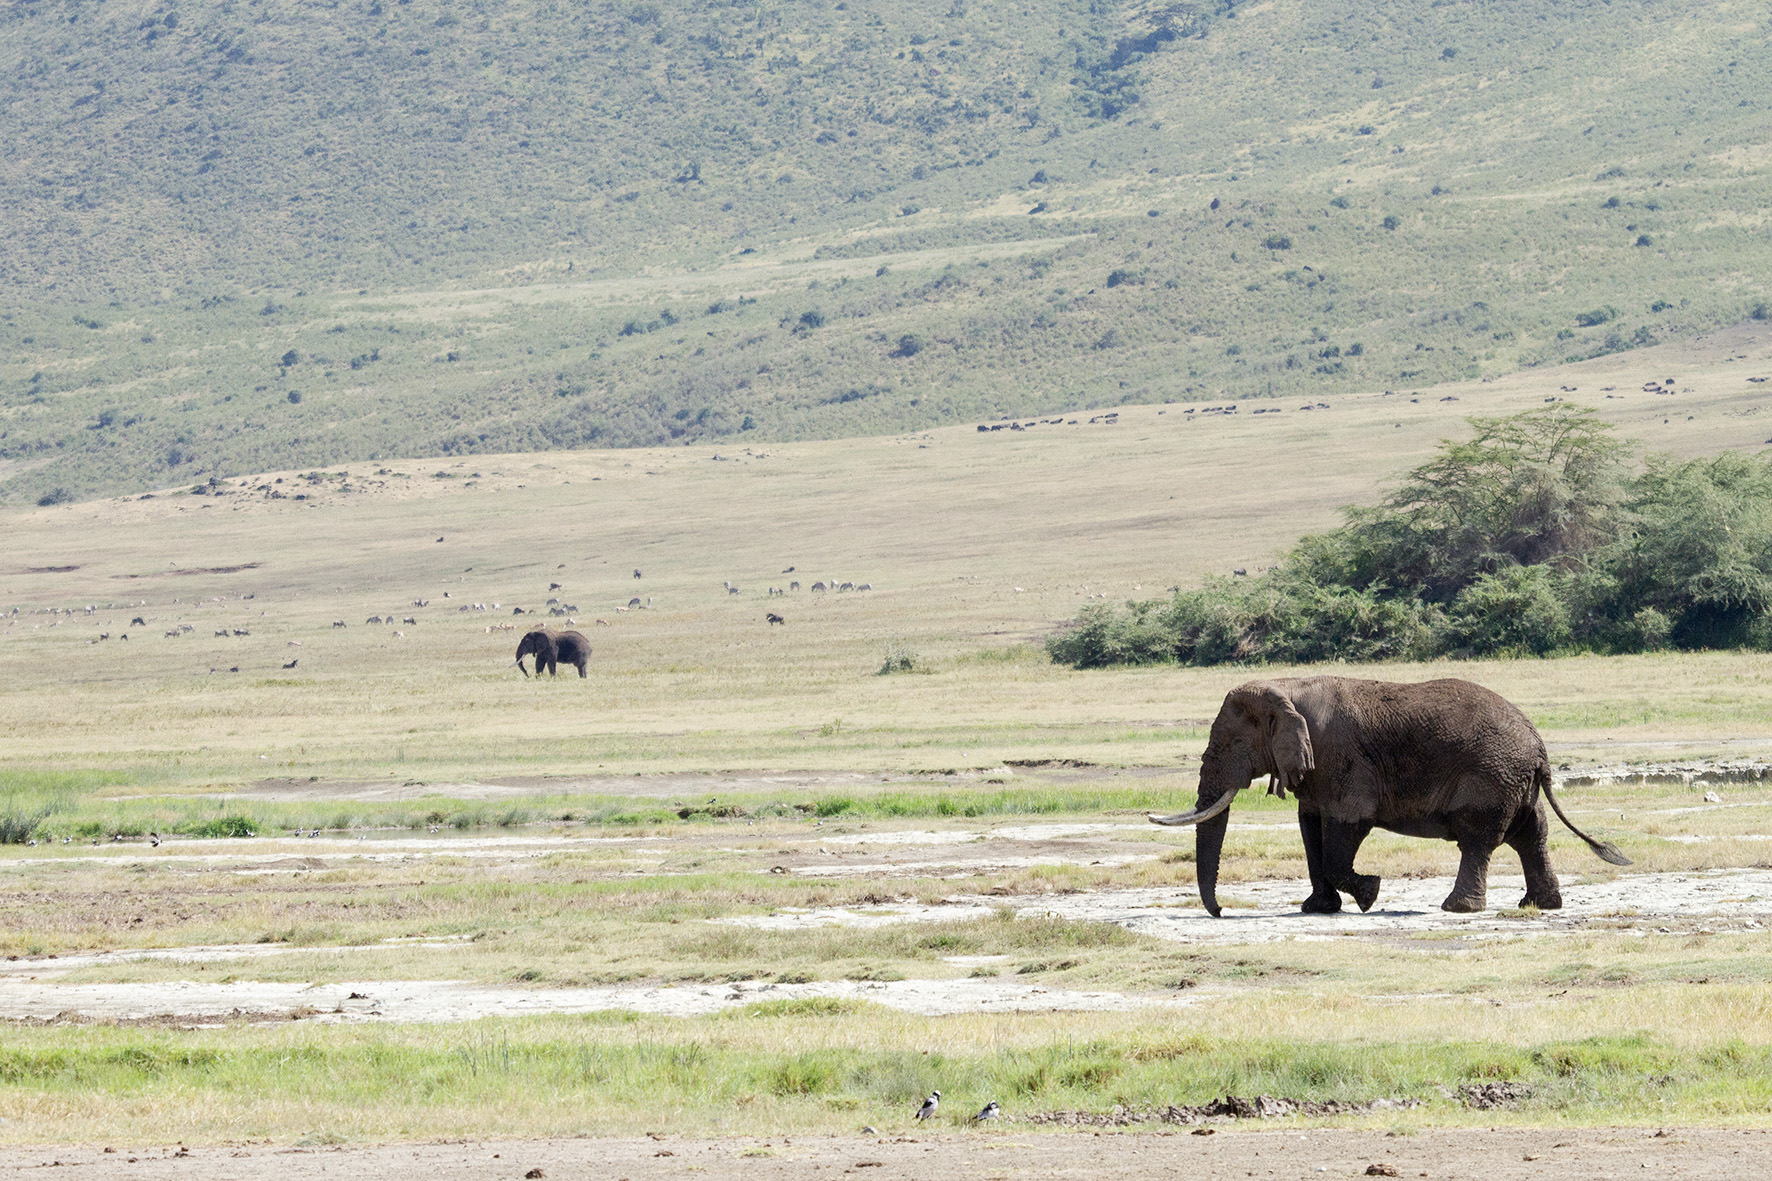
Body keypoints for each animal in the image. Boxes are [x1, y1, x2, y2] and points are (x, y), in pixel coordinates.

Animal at [1148, 677, 1630, 915]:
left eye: (1231, 742)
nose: (1220, 913)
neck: (1283, 688)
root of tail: (1540, 746)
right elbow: (1310, 828)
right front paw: (1317, 910)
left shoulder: (1341, 757)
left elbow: (1347, 826)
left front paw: (1370, 895)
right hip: (1514, 781)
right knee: (1530, 834)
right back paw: (1539, 905)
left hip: (1492, 775)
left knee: (1478, 839)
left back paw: (1457, 909)